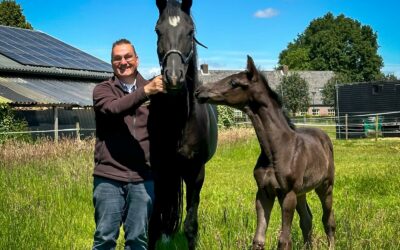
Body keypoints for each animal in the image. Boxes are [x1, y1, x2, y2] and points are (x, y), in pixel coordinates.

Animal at [148, 0, 219, 248]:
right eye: (157, 31)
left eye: (190, 32)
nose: (173, 78)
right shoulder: (160, 171)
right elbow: (154, 224)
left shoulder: (196, 174)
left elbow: (190, 226)